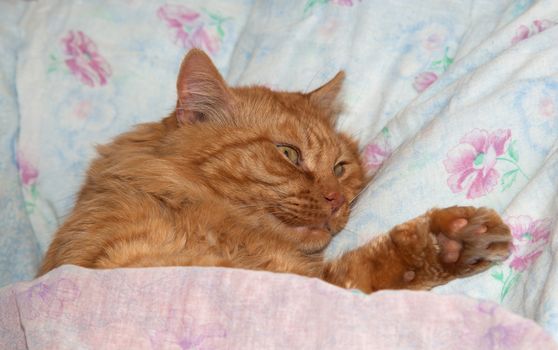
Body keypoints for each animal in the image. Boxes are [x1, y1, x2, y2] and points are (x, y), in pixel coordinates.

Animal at [37, 47, 516, 292]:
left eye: (340, 167)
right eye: (288, 154)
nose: (336, 199)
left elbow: (359, 277)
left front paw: (452, 245)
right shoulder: (124, 262)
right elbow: (351, 276)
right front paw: (444, 241)